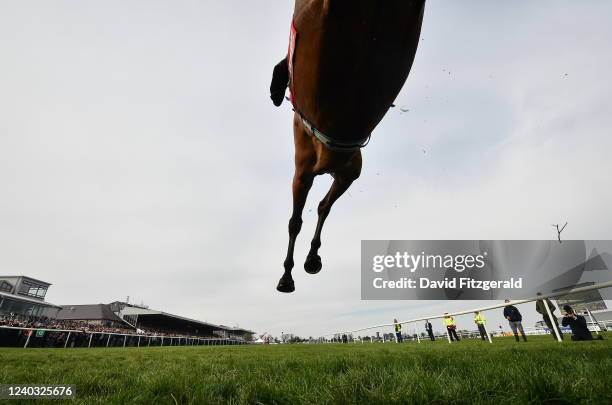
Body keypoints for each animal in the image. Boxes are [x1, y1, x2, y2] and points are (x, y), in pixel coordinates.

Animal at [272, 0, 426, 292]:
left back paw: (310, 258)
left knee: (322, 206)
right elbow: (297, 220)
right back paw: (311, 258)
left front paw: (288, 272)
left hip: (343, 172)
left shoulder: (306, 172)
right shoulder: (307, 174)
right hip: (344, 172)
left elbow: (297, 220)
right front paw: (289, 272)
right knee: (322, 206)